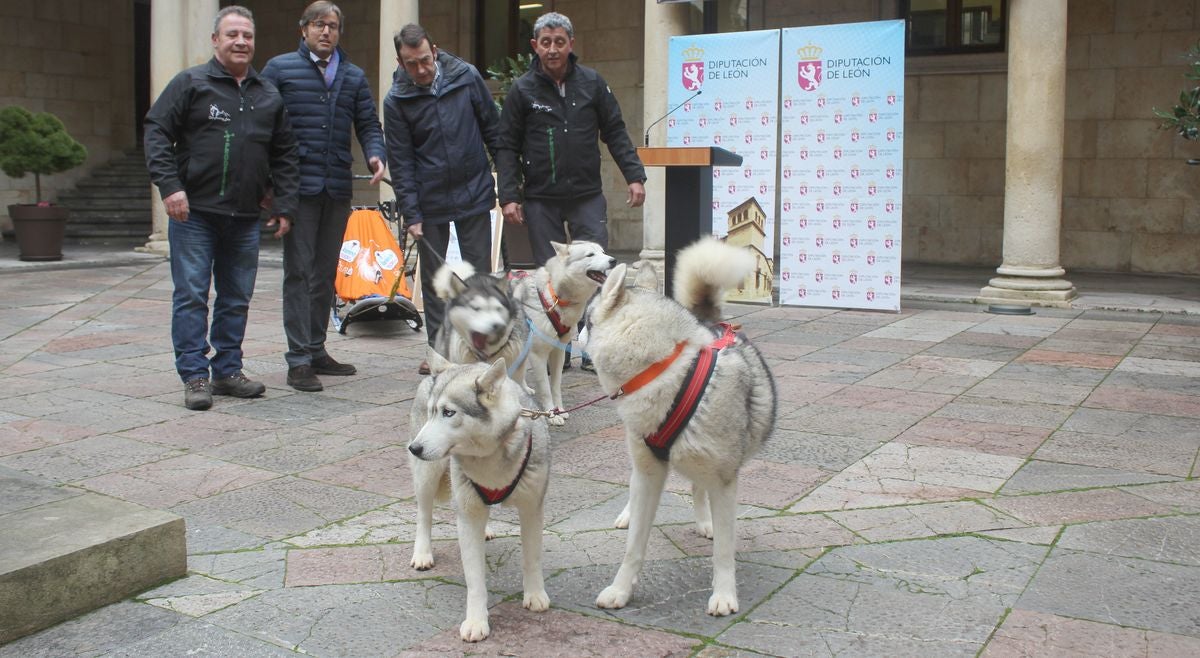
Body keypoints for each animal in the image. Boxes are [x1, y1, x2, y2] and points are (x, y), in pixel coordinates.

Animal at [405, 355, 549, 643]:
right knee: (424, 515)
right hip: (427, 475)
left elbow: (532, 558)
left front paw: (535, 595)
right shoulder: (468, 516)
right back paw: (423, 552)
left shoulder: (532, 507)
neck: (489, 459)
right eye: (433, 412)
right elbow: (474, 580)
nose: (414, 448)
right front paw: (476, 621)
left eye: (449, 412)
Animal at [511, 241, 614, 427]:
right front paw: (551, 414)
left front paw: (559, 410)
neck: (555, 297)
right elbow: (545, 389)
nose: (614, 260)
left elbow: (555, 386)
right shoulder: (538, 355)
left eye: (603, 252)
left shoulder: (558, 351)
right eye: (590, 255)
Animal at [583, 236, 772, 614]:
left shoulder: (724, 480)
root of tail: (710, 321)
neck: (667, 370)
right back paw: (629, 514)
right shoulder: (649, 471)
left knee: (699, 488)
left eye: (585, 321)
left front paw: (724, 594)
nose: (572, 335)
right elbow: (633, 546)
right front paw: (621, 590)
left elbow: (724, 549)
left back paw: (704, 521)